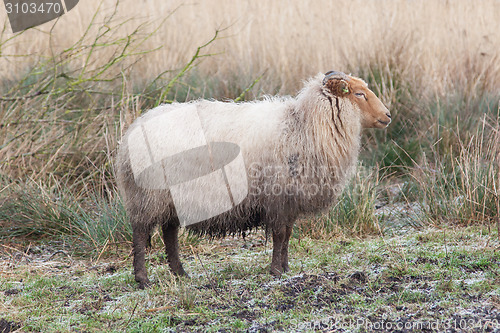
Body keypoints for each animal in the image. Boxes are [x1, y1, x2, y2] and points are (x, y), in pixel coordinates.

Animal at [117, 70, 390, 288]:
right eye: (359, 94)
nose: (387, 115)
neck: (303, 127)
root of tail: (130, 133)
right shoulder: (278, 197)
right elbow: (279, 234)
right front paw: (276, 271)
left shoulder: (288, 200)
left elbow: (287, 234)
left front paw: (286, 268)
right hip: (147, 196)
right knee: (140, 234)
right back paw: (143, 279)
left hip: (170, 199)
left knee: (169, 233)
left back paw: (180, 273)